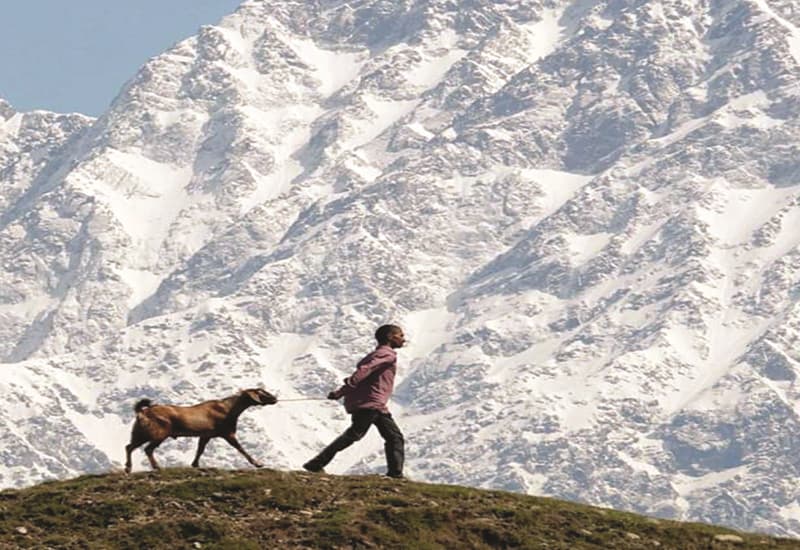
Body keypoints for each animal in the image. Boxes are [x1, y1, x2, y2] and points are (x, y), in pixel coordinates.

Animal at [123, 388, 276, 474]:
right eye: (261, 392)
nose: (275, 398)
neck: (230, 409)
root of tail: (142, 412)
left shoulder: (206, 435)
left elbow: (200, 450)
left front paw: (195, 464)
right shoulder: (227, 433)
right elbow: (240, 448)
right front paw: (258, 463)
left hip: (140, 433)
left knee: (129, 446)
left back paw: (128, 468)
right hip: (159, 433)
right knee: (148, 449)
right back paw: (157, 467)